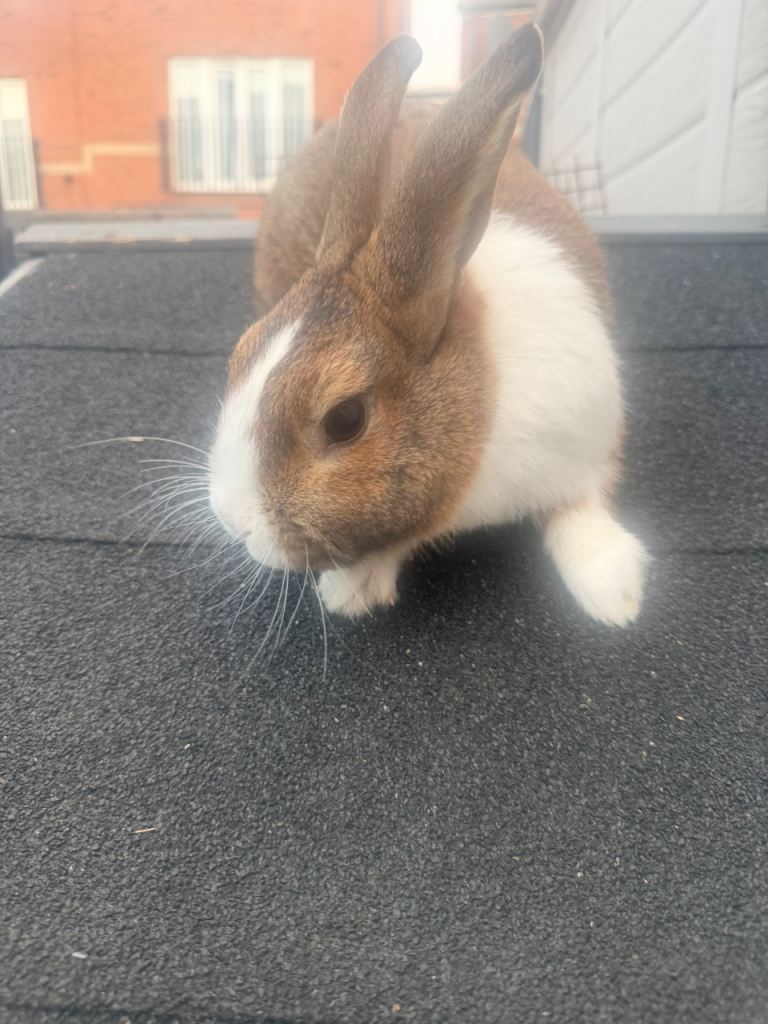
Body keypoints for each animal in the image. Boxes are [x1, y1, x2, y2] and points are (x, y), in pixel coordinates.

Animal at [209, 24, 648, 627]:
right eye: (238, 357)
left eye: (344, 418)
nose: (231, 518)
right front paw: (353, 589)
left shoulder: (589, 438)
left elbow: (580, 505)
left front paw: (614, 594)